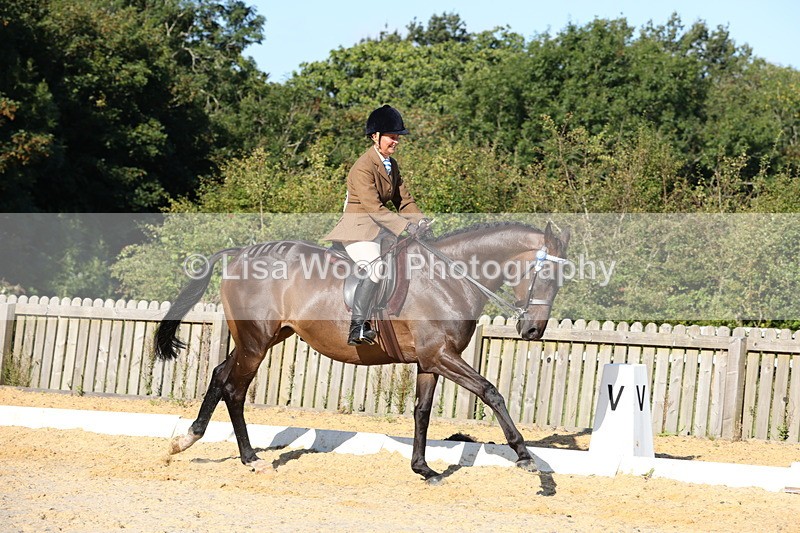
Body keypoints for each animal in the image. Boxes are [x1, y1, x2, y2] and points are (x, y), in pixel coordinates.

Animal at [155, 221, 570, 483]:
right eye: (547, 276)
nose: (533, 331)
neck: (449, 278)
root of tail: (239, 253)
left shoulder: (430, 361)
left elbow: (421, 413)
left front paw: (423, 469)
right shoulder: (441, 356)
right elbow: (490, 391)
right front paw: (525, 456)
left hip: (264, 339)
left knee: (220, 375)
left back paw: (186, 440)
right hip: (256, 342)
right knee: (235, 389)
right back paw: (250, 458)